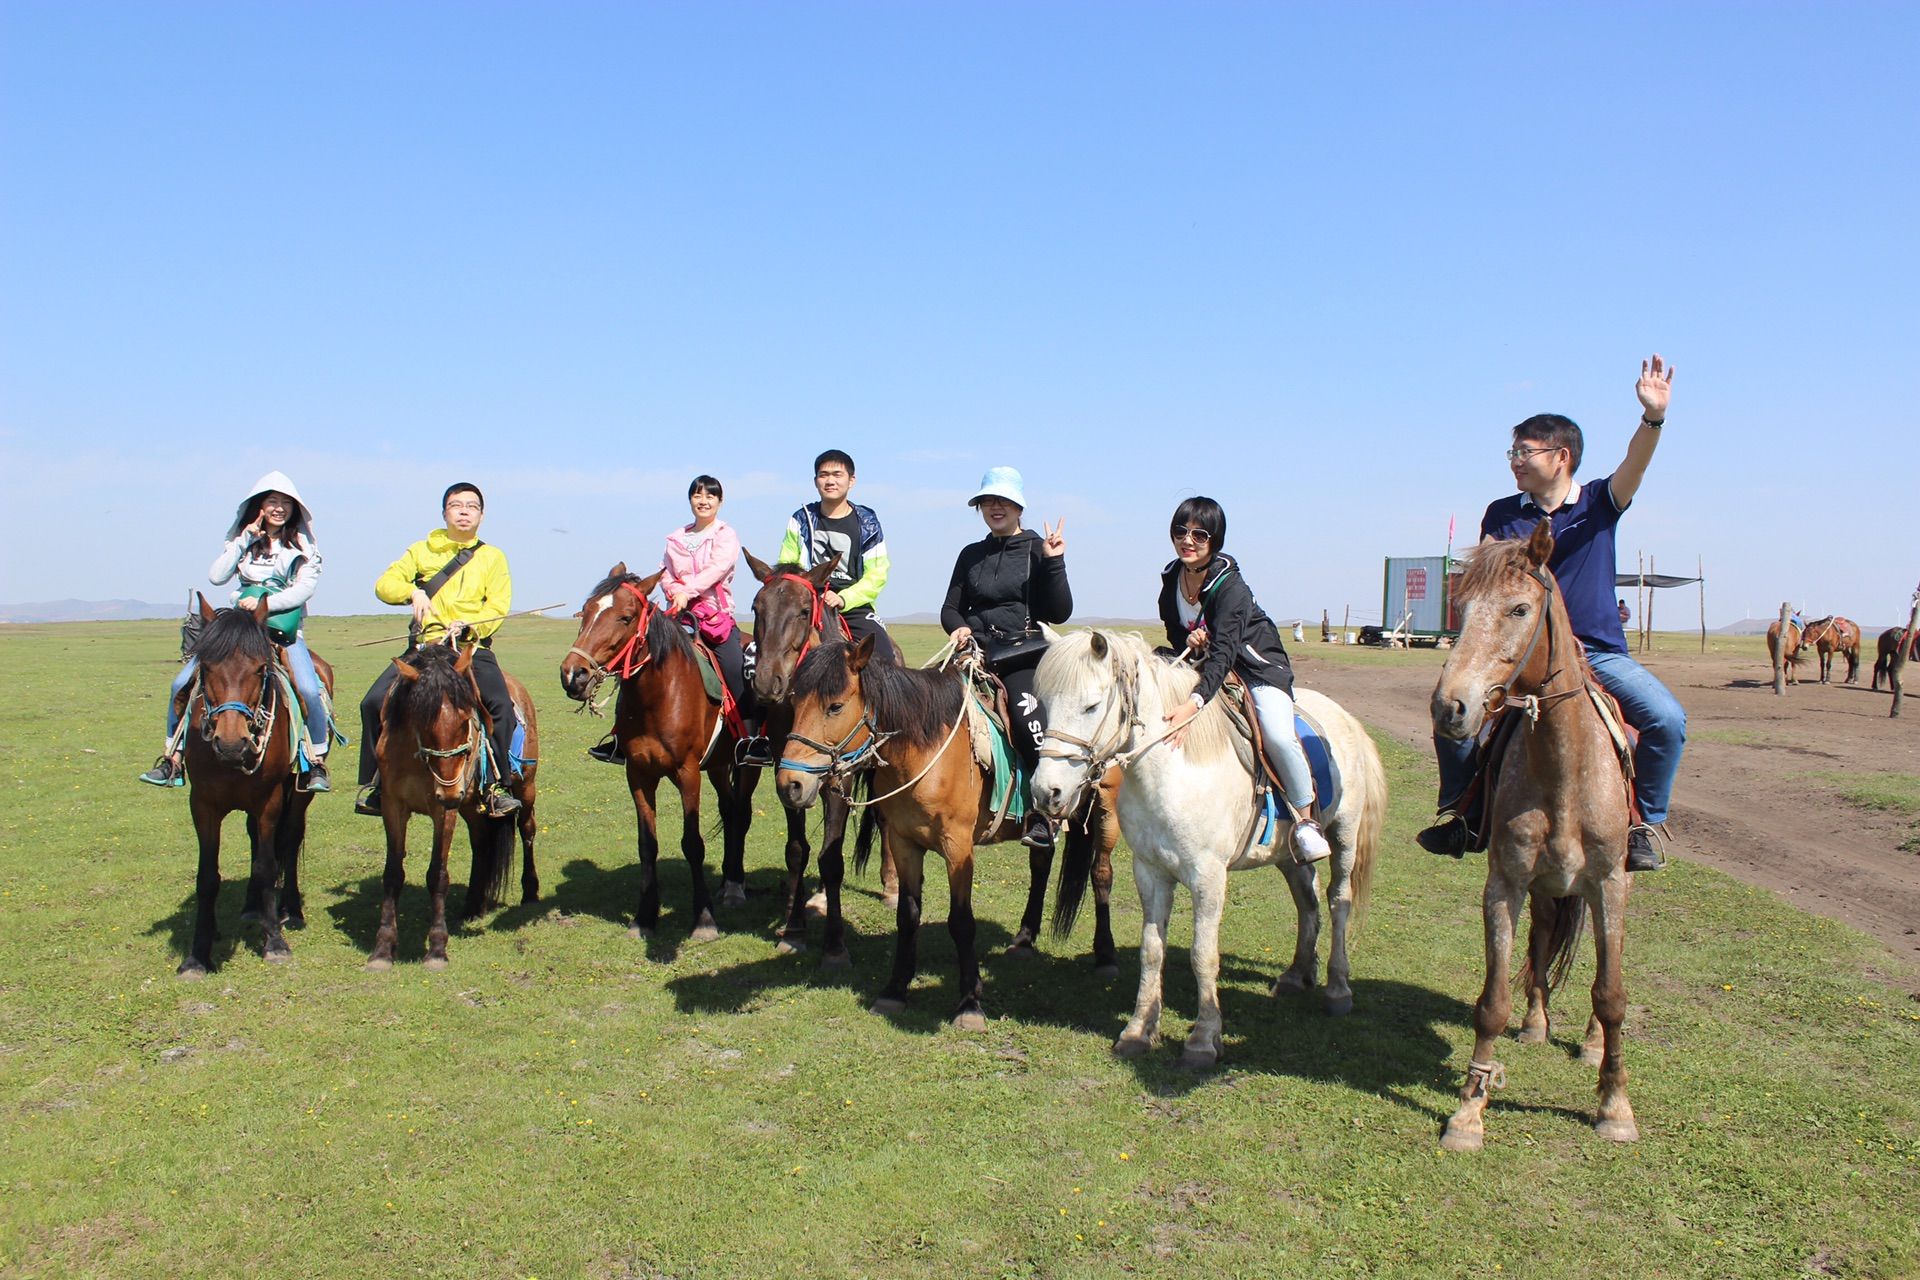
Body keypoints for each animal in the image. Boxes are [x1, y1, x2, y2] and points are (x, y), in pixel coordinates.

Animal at [176, 594, 334, 974]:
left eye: (261, 669)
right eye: (206, 667)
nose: (232, 744)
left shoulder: (269, 800)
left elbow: (266, 866)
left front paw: (274, 942)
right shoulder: (202, 803)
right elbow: (207, 877)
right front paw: (198, 954)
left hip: (299, 794)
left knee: (289, 840)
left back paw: (290, 909)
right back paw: (251, 908)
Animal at [364, 644, 541, 967]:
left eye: (465, 721)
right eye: (421, 722)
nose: (449, 793)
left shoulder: (443, 811)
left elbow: (438, 874)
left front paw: (436, 949)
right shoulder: (393, 806)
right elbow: (392, 873)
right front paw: (382, 950)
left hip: (524, 788)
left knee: (527, 830)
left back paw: (530, 893)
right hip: (470, 805)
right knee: (481, 845)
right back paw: (473, 905)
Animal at [560, 564, 752, 948]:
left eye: (625, 617)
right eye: (585, 612)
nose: (573, 675)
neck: (659, 696)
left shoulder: (687, 774)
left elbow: (693, 843)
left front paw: (704, 920)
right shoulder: (638, 774)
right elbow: (646, 845)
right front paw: (644, 918)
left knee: (741, 813)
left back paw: (735, 887)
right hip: (719, 764)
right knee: (729, 809)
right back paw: (728, 882)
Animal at [1036, 633, 1382, 1074]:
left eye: (1091, 705)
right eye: (1044, 704)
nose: (1046, 792)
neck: (1171, 771)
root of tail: (1347, 719)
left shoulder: (1208, 877)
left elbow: (1203, 955)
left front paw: (1203, 1040)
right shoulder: (1150, 872)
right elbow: (1152, 951)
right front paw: (1138, 1030)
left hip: (1345, 836)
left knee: (1339, 901)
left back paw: (1338, 989)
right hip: (1288, 856)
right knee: (1308, 903)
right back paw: (1296, 974)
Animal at [1428, 525, 1635, 1159]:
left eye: (1520, 608)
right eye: (1461, 606)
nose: (1451, 707)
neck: (1565, 770)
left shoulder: (1609, 883)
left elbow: (1611, 993)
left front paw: (1615, 1105)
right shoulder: (1507, 883)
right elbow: (1492, 1002)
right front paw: (1470, 1110)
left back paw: (1590, 1043)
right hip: (1547, 885)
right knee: (1544, 937)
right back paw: (1537, 1022)